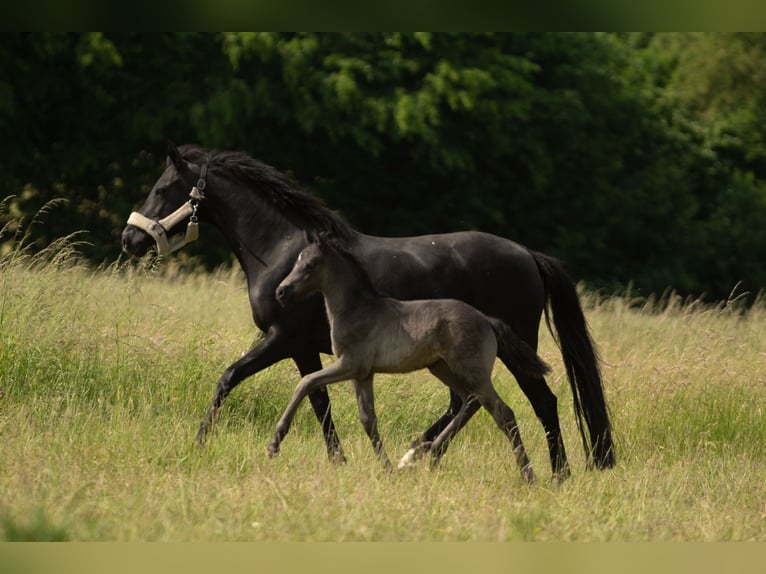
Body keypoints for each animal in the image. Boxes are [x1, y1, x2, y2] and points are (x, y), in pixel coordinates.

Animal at [123, 143, 616, 482]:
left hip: (513, 349)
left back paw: (556, 473)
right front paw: (338, 458)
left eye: (161, 188)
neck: (281, 248)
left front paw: (200, 442)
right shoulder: (306, 350)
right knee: (467, 402)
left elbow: (229, 377)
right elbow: (319, 400)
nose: (130, 239)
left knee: (539, 402)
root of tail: (529, 254)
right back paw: (419, 454)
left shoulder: (280, 340)